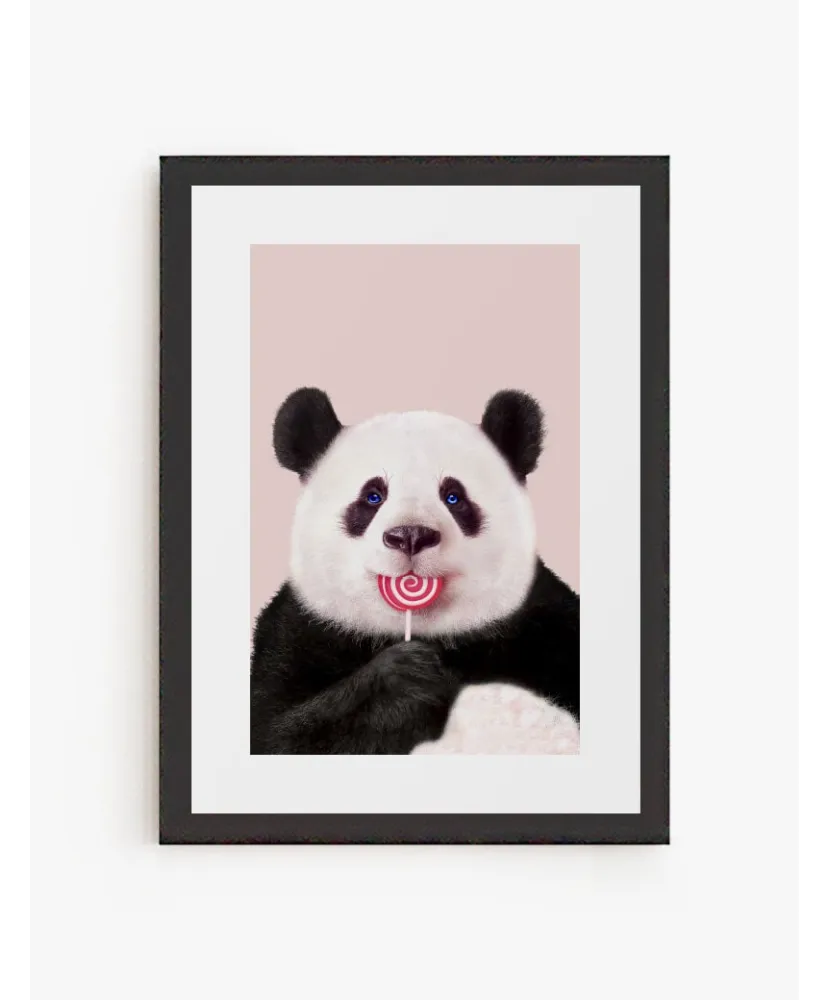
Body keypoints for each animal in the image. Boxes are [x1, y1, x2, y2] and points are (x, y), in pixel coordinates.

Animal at [250, 387, 579, 755]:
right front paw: (409, 680)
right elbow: (277, 734)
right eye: (373, 496)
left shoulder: (547, 627)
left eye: (454, 497)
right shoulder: (297, 634)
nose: (411, 535)